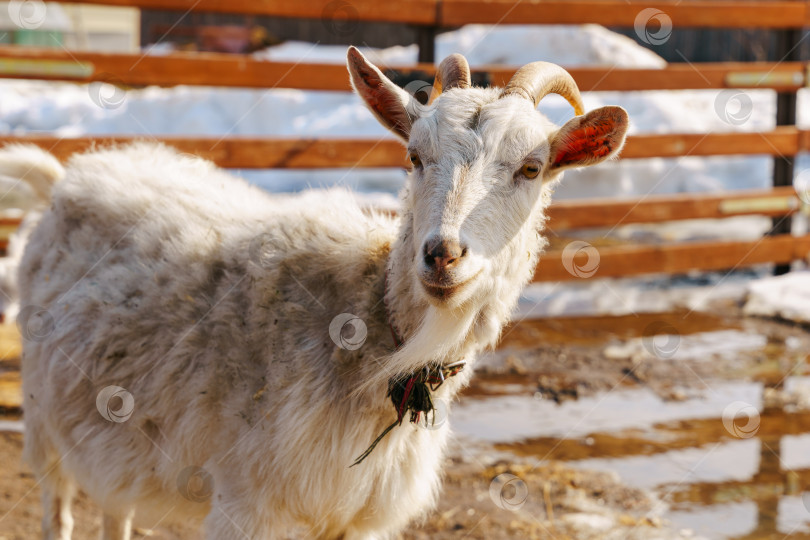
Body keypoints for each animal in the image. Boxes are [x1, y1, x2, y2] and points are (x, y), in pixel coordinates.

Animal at [14, 47, 624, 540]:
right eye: (414, 156)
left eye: (532, 168)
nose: (442, 254)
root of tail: (66, 176)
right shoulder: (248, 507)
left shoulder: (360, 521)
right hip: (43, 420)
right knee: (57, 509)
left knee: (114, 508)